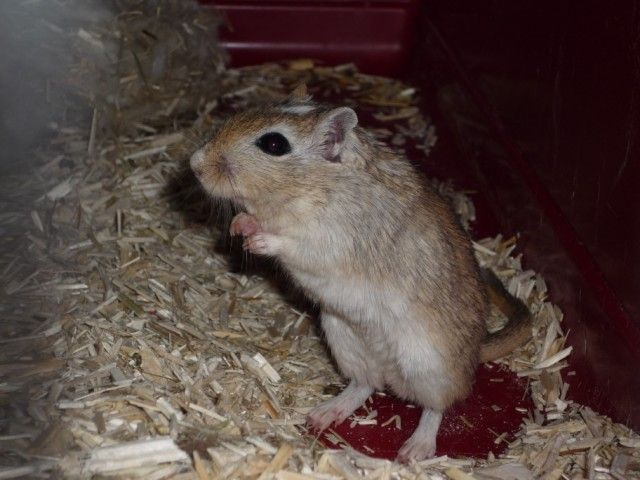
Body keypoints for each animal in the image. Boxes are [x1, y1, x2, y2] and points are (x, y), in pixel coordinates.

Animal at [190, 85, 532, 461]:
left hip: (429, 366)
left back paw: (414, 451)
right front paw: (240, 225)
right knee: (365, 384)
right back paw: (323, 414)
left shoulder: (330, 241)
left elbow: (291, 244)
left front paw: (258, 240)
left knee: (435, 407)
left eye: (274, 144)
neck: (312, 186)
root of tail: (474, 355)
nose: (194, 164)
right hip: (344, 337)